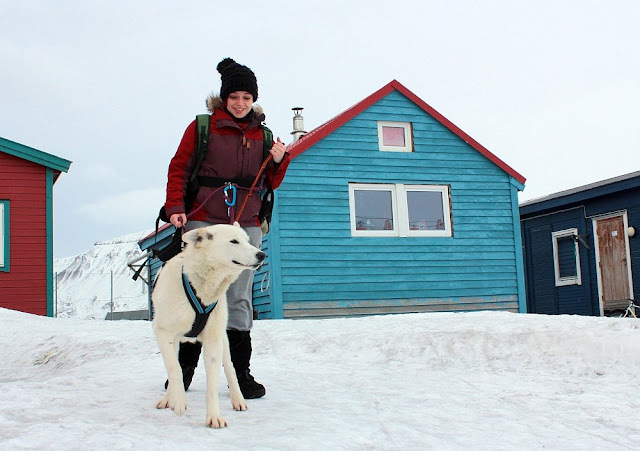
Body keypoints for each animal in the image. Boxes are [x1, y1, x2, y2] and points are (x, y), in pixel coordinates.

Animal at [151, 224, 264, 430]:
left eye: (248, 241)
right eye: (233, 241)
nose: (261, 255)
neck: (200, 286)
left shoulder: (213, 341)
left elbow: (212, 384)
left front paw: (214, 416)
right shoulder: (162, 333)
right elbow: (174, 369)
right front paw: (178, 400)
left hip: (223, 341)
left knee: (230, 369)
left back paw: (238, 399)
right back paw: (168, 398)